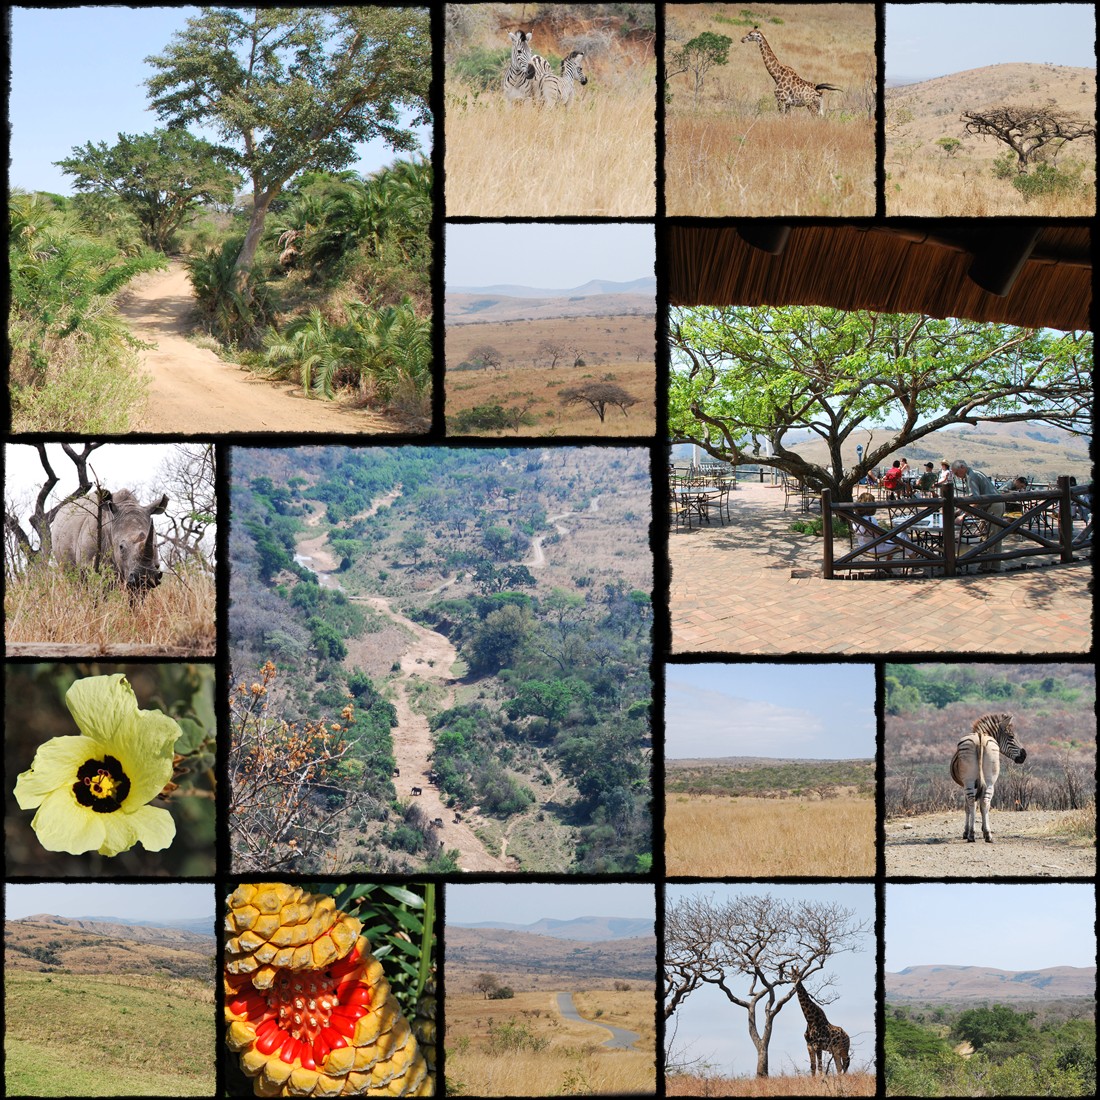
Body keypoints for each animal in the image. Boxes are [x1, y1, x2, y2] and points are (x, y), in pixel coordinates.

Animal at [950, 712, 1025, 840]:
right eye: (1011, 737)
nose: (1024, 755)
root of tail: (980, 737)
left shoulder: (965, 785)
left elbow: (969, 807)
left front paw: (967, 831)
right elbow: (981, 805)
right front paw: (983, 828)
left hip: (969, 781)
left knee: (972, 801)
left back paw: (971, 834)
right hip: (990, 780)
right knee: (985, 802)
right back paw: (987, 834)